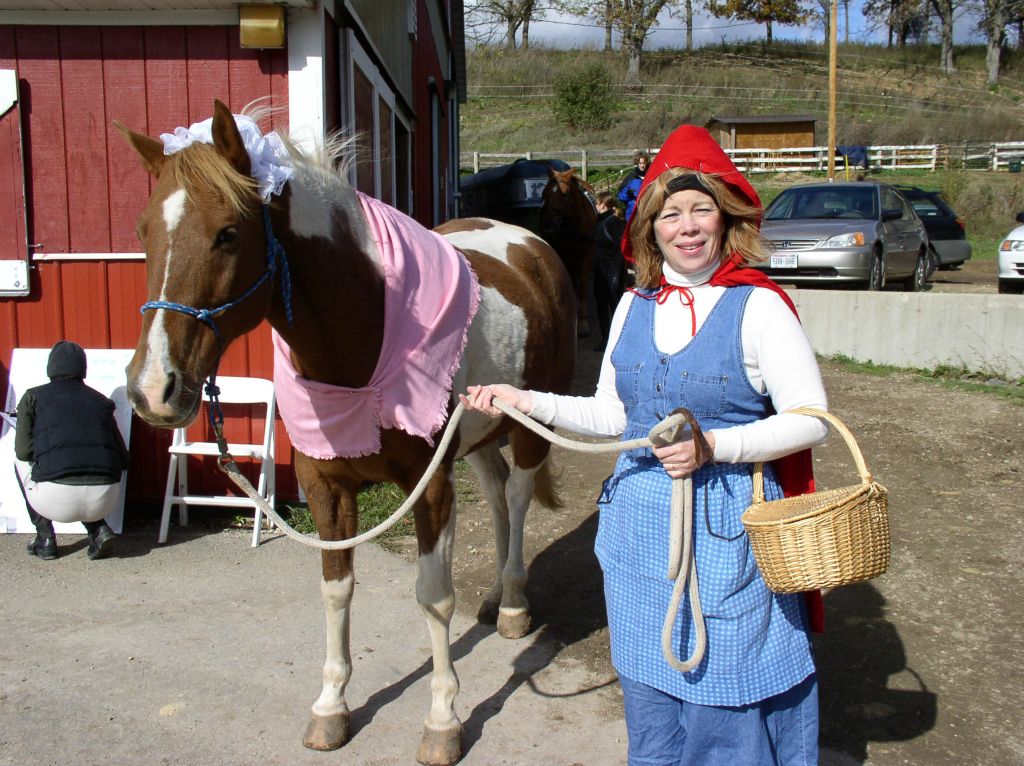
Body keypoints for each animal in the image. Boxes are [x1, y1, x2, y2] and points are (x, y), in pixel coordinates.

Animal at [115, 101, 577, 766]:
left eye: (228, 232)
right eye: (142, 232)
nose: (154, 388)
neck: (365, 329)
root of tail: (529, 244)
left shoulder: (429, 487)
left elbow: (433, 596)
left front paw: (443, 720)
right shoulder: (325, 487)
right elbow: (336, 592)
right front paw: (331, 707)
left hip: (530, 423)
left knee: (516, 497)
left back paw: (513, 602)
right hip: (479, 435)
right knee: (494, 497)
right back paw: (494, 596)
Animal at [536, 165, 598, 335]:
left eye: (565, 194)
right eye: (544, 194)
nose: (548, 225)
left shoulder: (587, 256)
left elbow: (582, 286)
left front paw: (583, 322)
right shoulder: (562, 253)